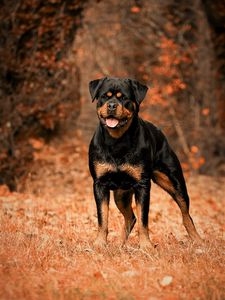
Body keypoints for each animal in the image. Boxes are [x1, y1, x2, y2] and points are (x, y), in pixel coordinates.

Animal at [88, 77, 200, 248]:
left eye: (124, 98)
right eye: (104, 96)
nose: (112, 105)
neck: (117, 141)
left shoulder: (143, 185)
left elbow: (143, 219)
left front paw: (146, 245)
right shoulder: (99, 184)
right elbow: (103, 218)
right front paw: (100, 243)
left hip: (175, 183)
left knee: (185, 213)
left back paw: (197, 239)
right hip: (120, 193)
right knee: (131, 217)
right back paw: (120, 244)